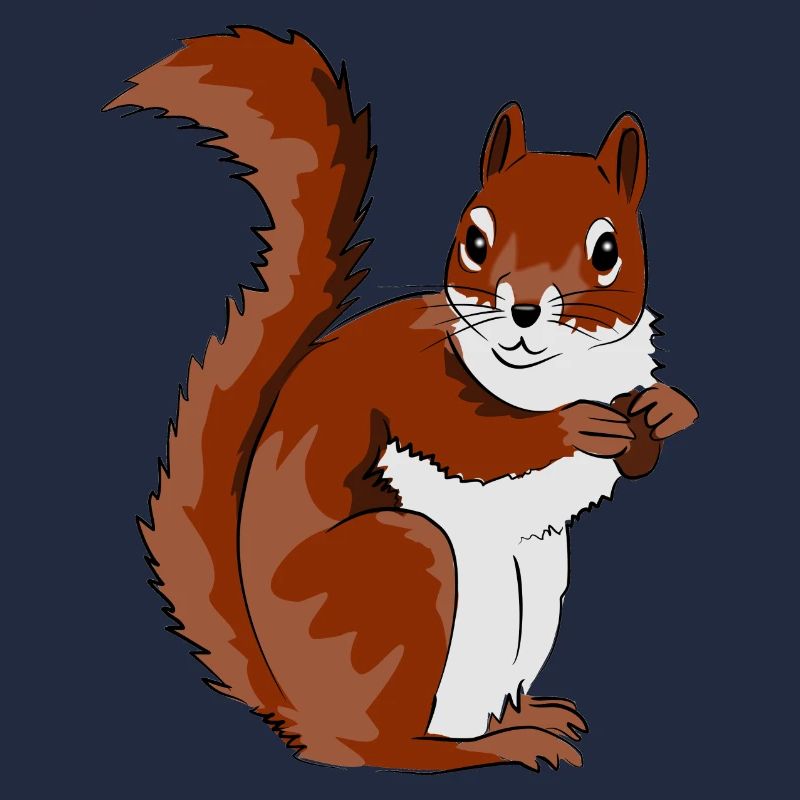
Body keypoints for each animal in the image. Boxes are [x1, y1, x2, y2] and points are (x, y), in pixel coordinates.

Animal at [106, 26, 698, 773]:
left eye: (608, 249)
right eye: (474, 240)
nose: (524, 311)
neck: (548, 375)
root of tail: (299, 712)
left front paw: (664, 411)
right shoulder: (414, 384)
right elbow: (478, 442)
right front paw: (574, 427)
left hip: (537, 587)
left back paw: (525, 717)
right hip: (407, 572)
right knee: (383, 746)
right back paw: (490, 746)